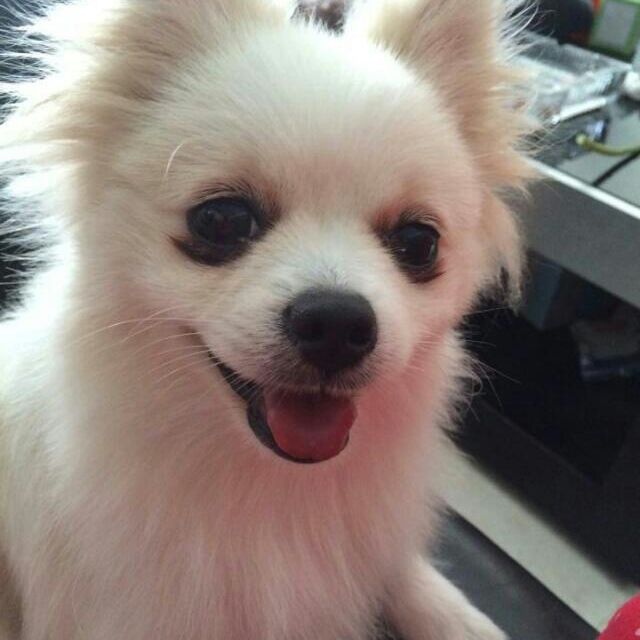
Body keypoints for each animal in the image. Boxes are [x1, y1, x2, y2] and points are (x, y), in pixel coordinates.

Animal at [0, 0, 530, 638]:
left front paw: (456, 616)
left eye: (418, 243)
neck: (266, 482)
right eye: (221, 219)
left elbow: (395, 568)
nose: (336, 323)